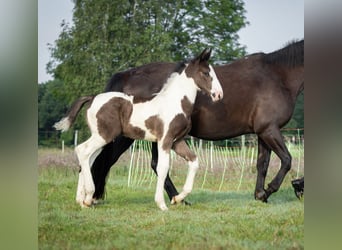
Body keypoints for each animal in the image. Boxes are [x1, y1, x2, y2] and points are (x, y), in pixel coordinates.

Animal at [54, 48, 223, 209]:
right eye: (206, 73)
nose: (219, 95)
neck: (175, 102)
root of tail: (93, 97)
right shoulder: (165, 140)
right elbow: (163, 168)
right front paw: (162, 204)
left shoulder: (177, 141)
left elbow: (194, 161)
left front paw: (178, 198)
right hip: (104, 136)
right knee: (82, 150)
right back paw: (88, 196)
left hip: (100, 137)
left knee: (88, 158)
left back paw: (82, 200)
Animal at [91, 39, 304, 203]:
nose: (298, 187)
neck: (277, 76)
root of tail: (127, 75)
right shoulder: (270, 130)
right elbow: (287, 160)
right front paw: (269, 190)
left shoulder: (262, 131)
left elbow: (262, 164)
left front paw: (260, 194)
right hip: (128, 135)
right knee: (106, 160)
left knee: (154, 164)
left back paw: (178, 198)